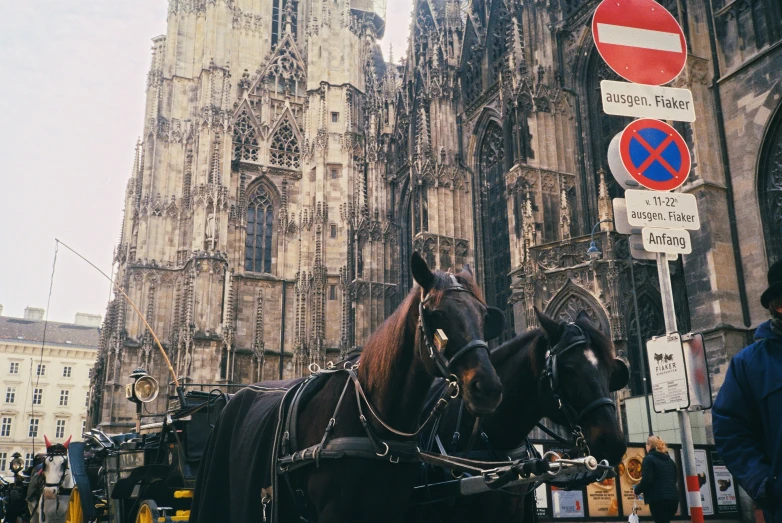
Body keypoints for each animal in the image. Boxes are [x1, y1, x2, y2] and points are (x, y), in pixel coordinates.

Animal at [193, 252, 506, 520]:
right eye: (436, 313)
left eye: (484, 316)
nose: (488, 387)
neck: (374, 420)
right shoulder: (334, 511)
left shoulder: (391, 506)